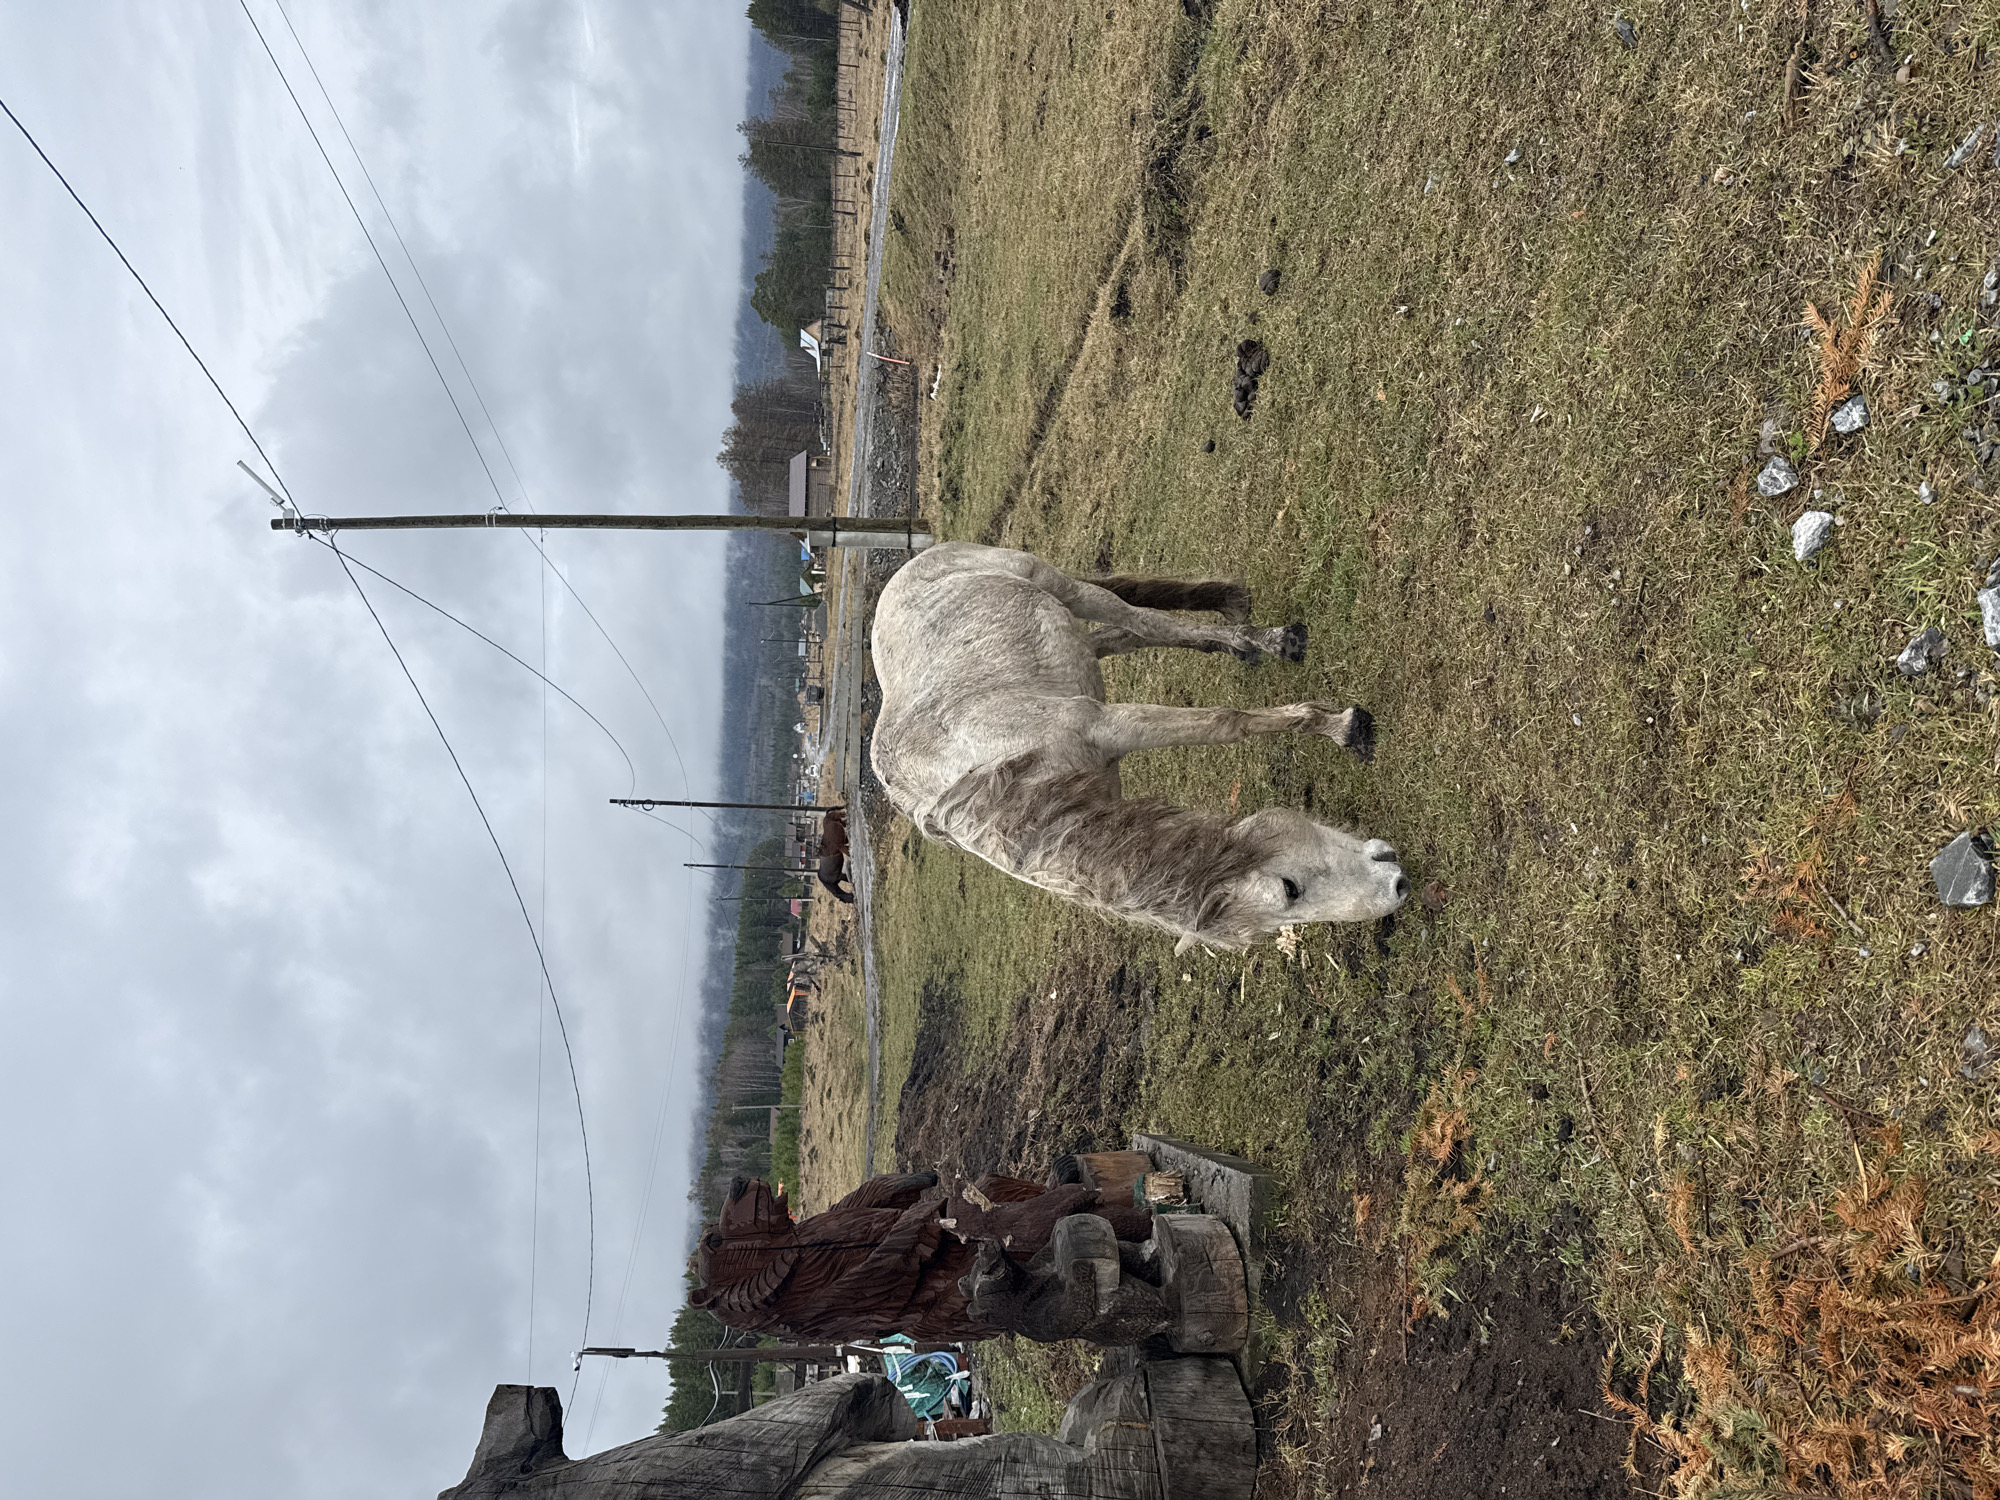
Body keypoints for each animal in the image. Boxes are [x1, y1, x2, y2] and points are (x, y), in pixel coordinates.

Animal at [868, 542, 1406, 951]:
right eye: (1289, 892)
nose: (1397, 887)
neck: (1000, 775)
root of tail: (919, 561)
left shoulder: (1112, 725)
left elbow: (1226, 723)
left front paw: (1341, 727)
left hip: (1060, 586)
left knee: (1141, 621)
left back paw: (1265, 641)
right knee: (1122, 635)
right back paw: (1238, 643)